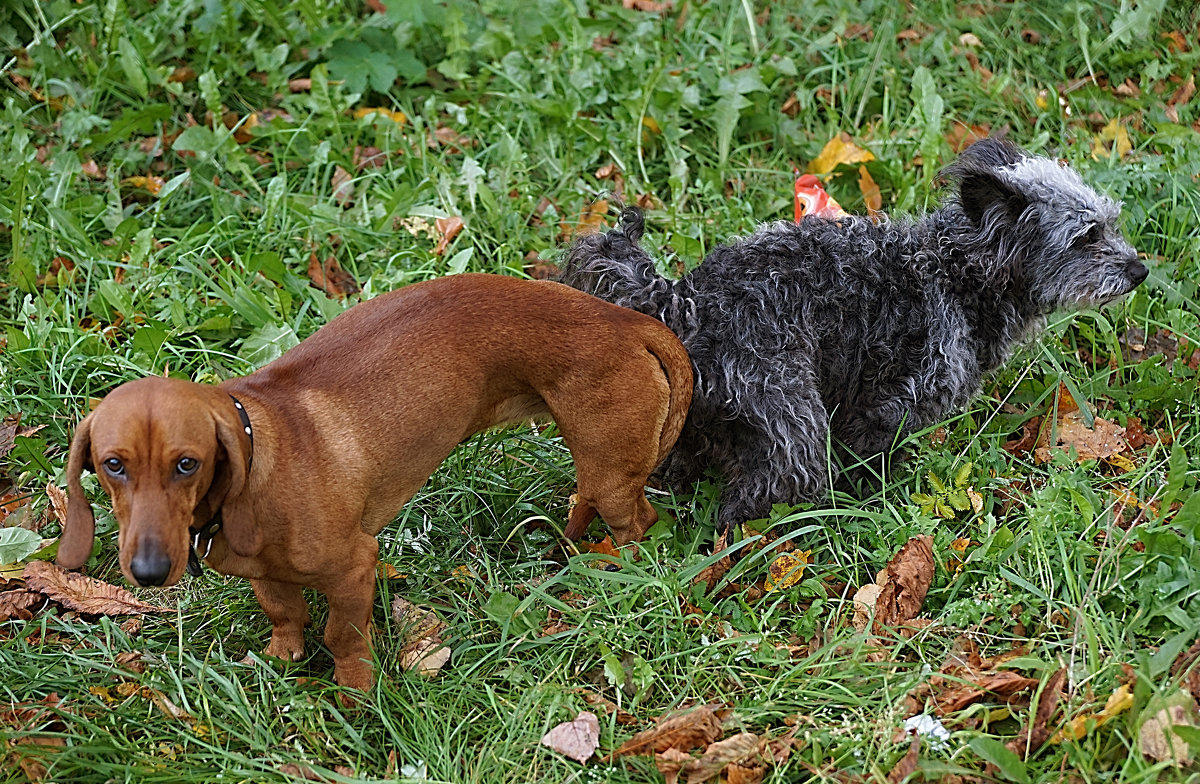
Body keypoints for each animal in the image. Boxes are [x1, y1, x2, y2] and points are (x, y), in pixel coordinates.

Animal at [556, 136, 1147, 537]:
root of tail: (684, 301)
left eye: (1112, 222)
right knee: (749, 502)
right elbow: (871, 461)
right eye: (1087, 236)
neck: (958, 273)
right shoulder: (888, 405)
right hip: (794, 429)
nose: (1141, 271)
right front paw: (873, 504)